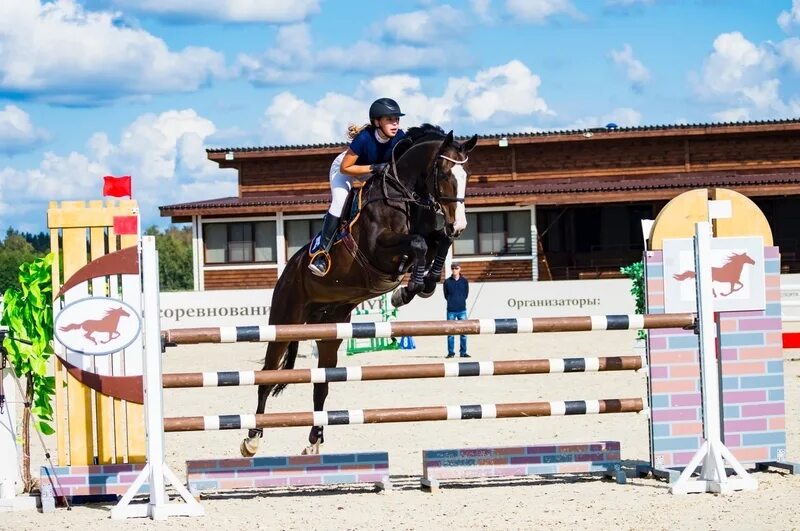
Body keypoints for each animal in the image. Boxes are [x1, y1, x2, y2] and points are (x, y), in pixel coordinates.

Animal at [238, 124, 476, 458]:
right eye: (443, 172)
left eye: (467, 173)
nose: (460, 226)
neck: (402, 196)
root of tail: (288, 271)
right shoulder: (378, 250)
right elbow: (418, 243)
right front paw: (409, 288)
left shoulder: (427, 238)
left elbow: (436, 241)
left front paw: (419, 286)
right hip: (283, 324)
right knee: (267, 377)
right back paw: (252, 439)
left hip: (329, 333)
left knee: (321, 385)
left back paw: (314, 441)